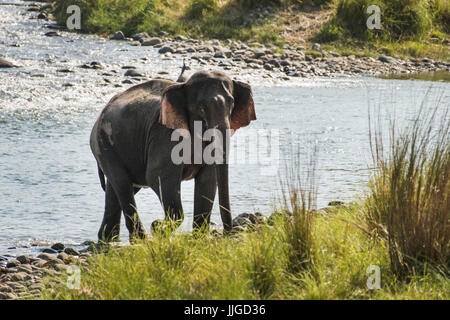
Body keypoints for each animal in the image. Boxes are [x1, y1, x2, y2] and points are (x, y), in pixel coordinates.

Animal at [89, 70, 256, 240]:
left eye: (232, 103)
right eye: (201, 107)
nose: (229, 233)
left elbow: (208, 180)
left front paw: (198, 237)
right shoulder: (164, 134)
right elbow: (157, 176)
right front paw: (158, 227)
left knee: (117, 190)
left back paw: (108, 239)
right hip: (103, 144)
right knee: (123, 185)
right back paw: (140, 239)